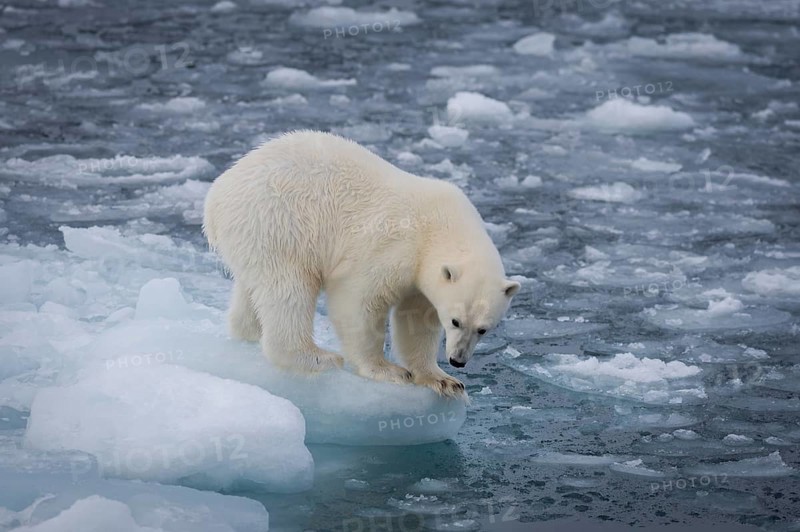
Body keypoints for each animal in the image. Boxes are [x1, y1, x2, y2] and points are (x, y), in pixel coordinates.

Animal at [203, 130, 519, 398]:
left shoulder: (422, 275)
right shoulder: (393, 246)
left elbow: (416, 319)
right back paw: (318, 357)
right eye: (455, 321)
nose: (457, 360)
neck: (439, 226)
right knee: (289, 289)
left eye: (483, 329)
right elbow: (359, 299)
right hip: (279, 223)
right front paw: (388, 370)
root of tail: (215, 198)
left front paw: (443, 380)